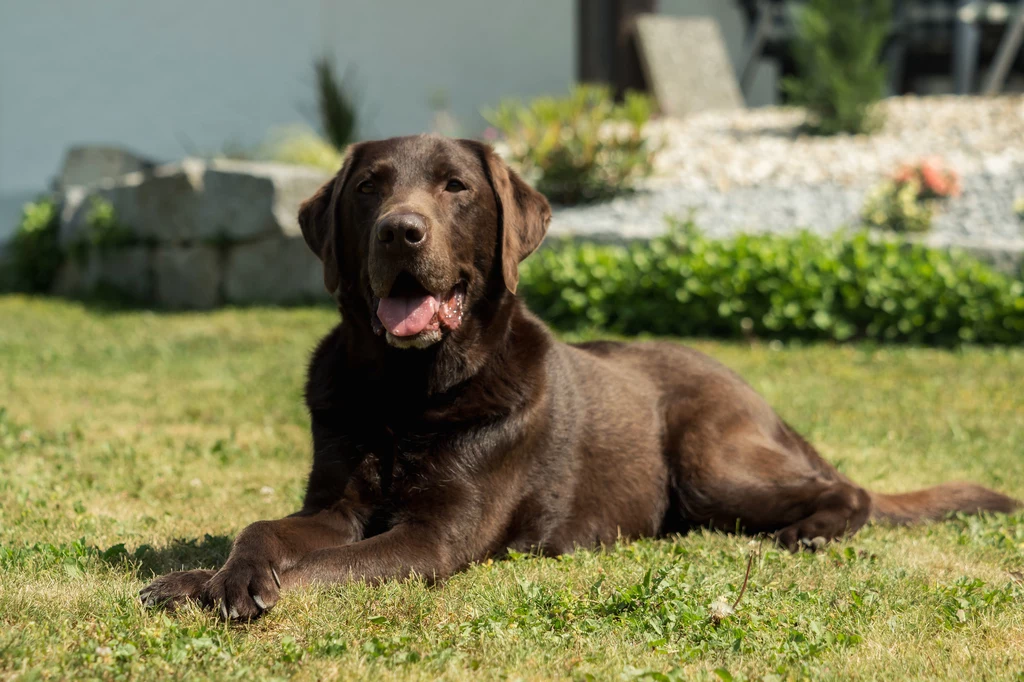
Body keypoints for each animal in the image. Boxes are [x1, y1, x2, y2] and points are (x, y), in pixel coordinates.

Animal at [140, 133, 1019, 614]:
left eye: (456, 188)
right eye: (367, 188)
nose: (400, 231)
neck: (406, 395)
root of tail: (753, 391)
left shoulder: (433, 538)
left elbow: (325, 569)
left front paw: (225, 587)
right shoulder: (334, 503)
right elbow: (265, 530)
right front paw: (207, 578)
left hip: (715, 463)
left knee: (852, 491)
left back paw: (808, 532)